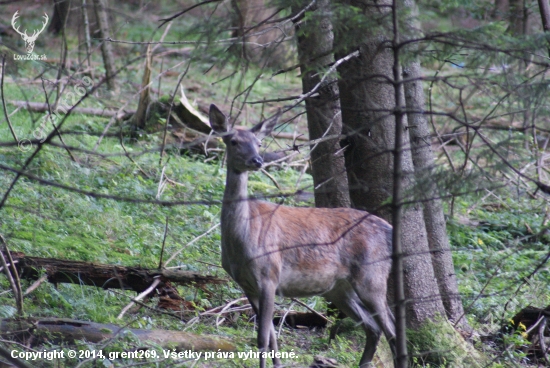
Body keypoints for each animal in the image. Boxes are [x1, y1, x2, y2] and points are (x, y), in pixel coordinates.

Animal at [210, 104, 396, 368]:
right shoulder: (247, 284)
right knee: (373, 328)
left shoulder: (269, 274)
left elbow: (262, 337)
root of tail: (389, 230)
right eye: (234, 141)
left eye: (259, 142)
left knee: (391, 329)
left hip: (372, 275)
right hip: (339, 288)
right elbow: (271, 335)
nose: (257, 160)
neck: (242, 240)